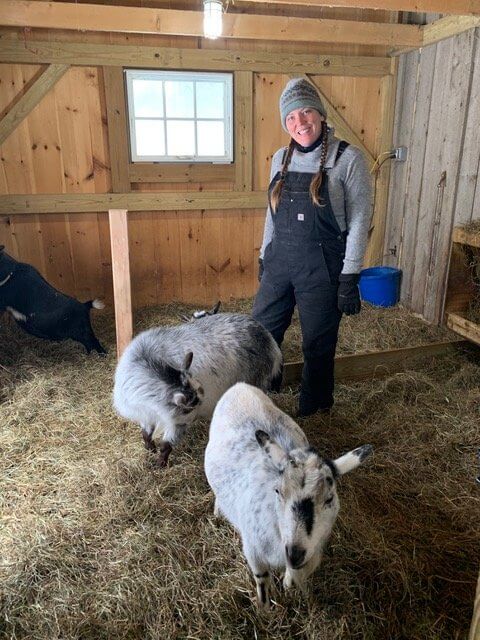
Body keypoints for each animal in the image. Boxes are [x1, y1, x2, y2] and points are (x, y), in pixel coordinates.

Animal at [114, 304, 284, 464]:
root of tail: (268, 338)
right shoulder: (147, 413)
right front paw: (150, 449)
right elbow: (146, 434)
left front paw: (160, 463)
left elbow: (166, 445)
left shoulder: (178, 420)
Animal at [204, 382, 374, 608]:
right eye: (278, 491)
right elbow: (262, 579)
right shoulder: (253, 550)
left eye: (329, 499)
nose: (294, 554)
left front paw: (289, 585)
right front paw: (265, 608)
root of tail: (240, 386)